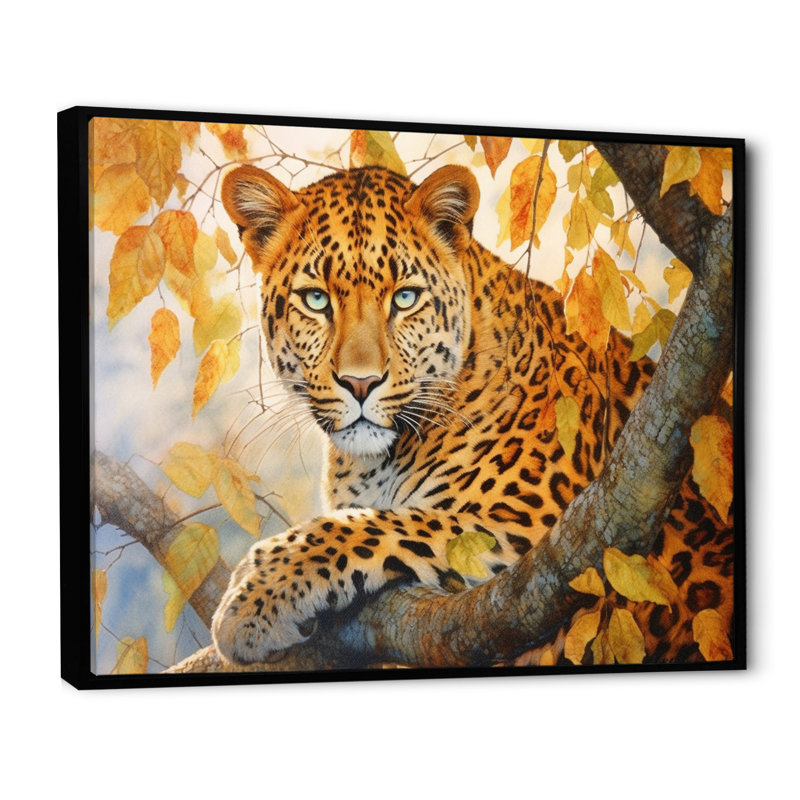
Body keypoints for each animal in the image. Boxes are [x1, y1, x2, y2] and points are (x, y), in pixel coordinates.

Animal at [213, 162, 734, 667]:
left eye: (405, 298)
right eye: (316, 299)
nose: (361, 383)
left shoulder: (539, 529)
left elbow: (379, 525)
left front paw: (250, 598)